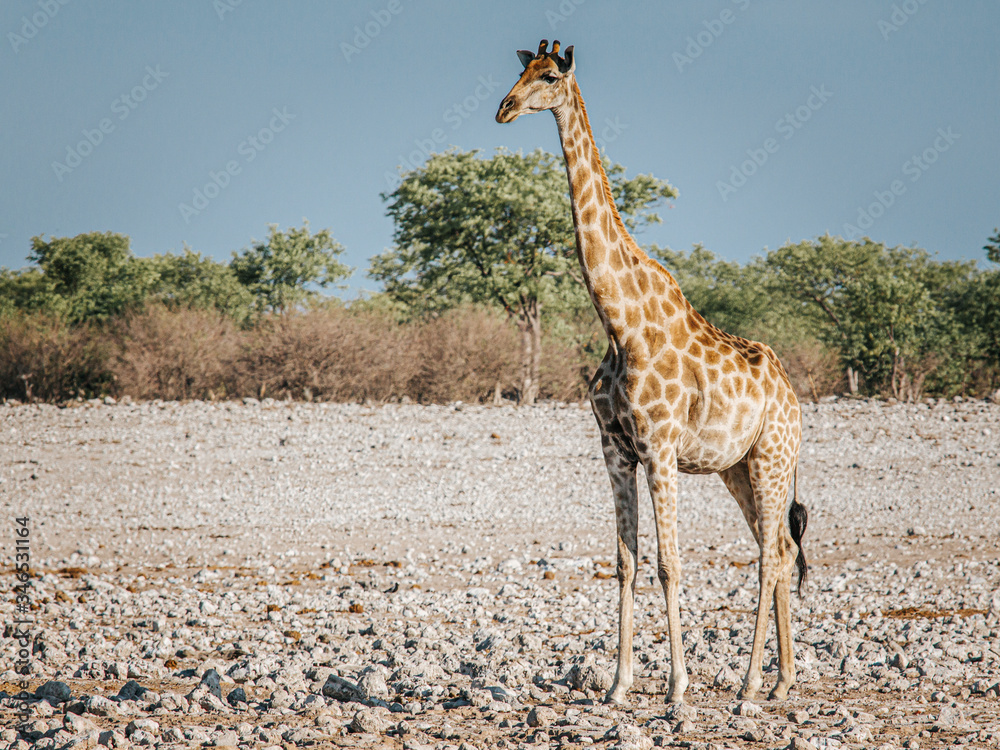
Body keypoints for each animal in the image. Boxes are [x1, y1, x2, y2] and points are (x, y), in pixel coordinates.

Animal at [496, 40, 808, 705]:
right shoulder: (616, 449)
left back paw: (749, 685)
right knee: (778, 543)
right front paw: (617, 686)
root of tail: (793, 397)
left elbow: (669, 563)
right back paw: (783, 681)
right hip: (737, 466)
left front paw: (677, 688)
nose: (504, 108)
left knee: (772, 553)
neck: (621, 323)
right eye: (517, 71)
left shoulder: (660, 448)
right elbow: (626, 561)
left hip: (771, 456)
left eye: (549, 76)